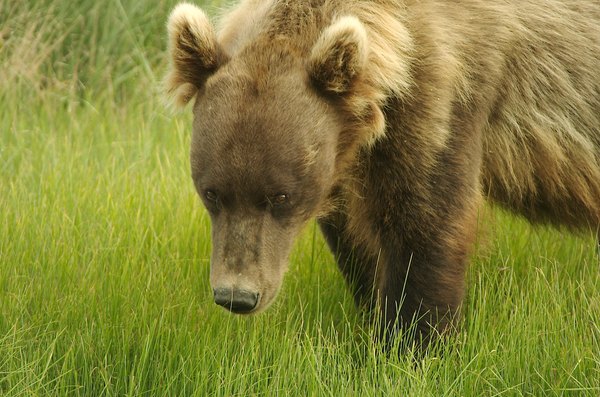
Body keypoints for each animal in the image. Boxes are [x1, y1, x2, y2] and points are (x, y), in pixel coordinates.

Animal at [164, 0, 600, 344]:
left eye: (280, 196)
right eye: (212, 192)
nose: (236, 296)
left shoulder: (444, 91)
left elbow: (423, 224)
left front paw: (411, 345)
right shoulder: (348, 154)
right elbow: (353, 237)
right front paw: (371, 313)